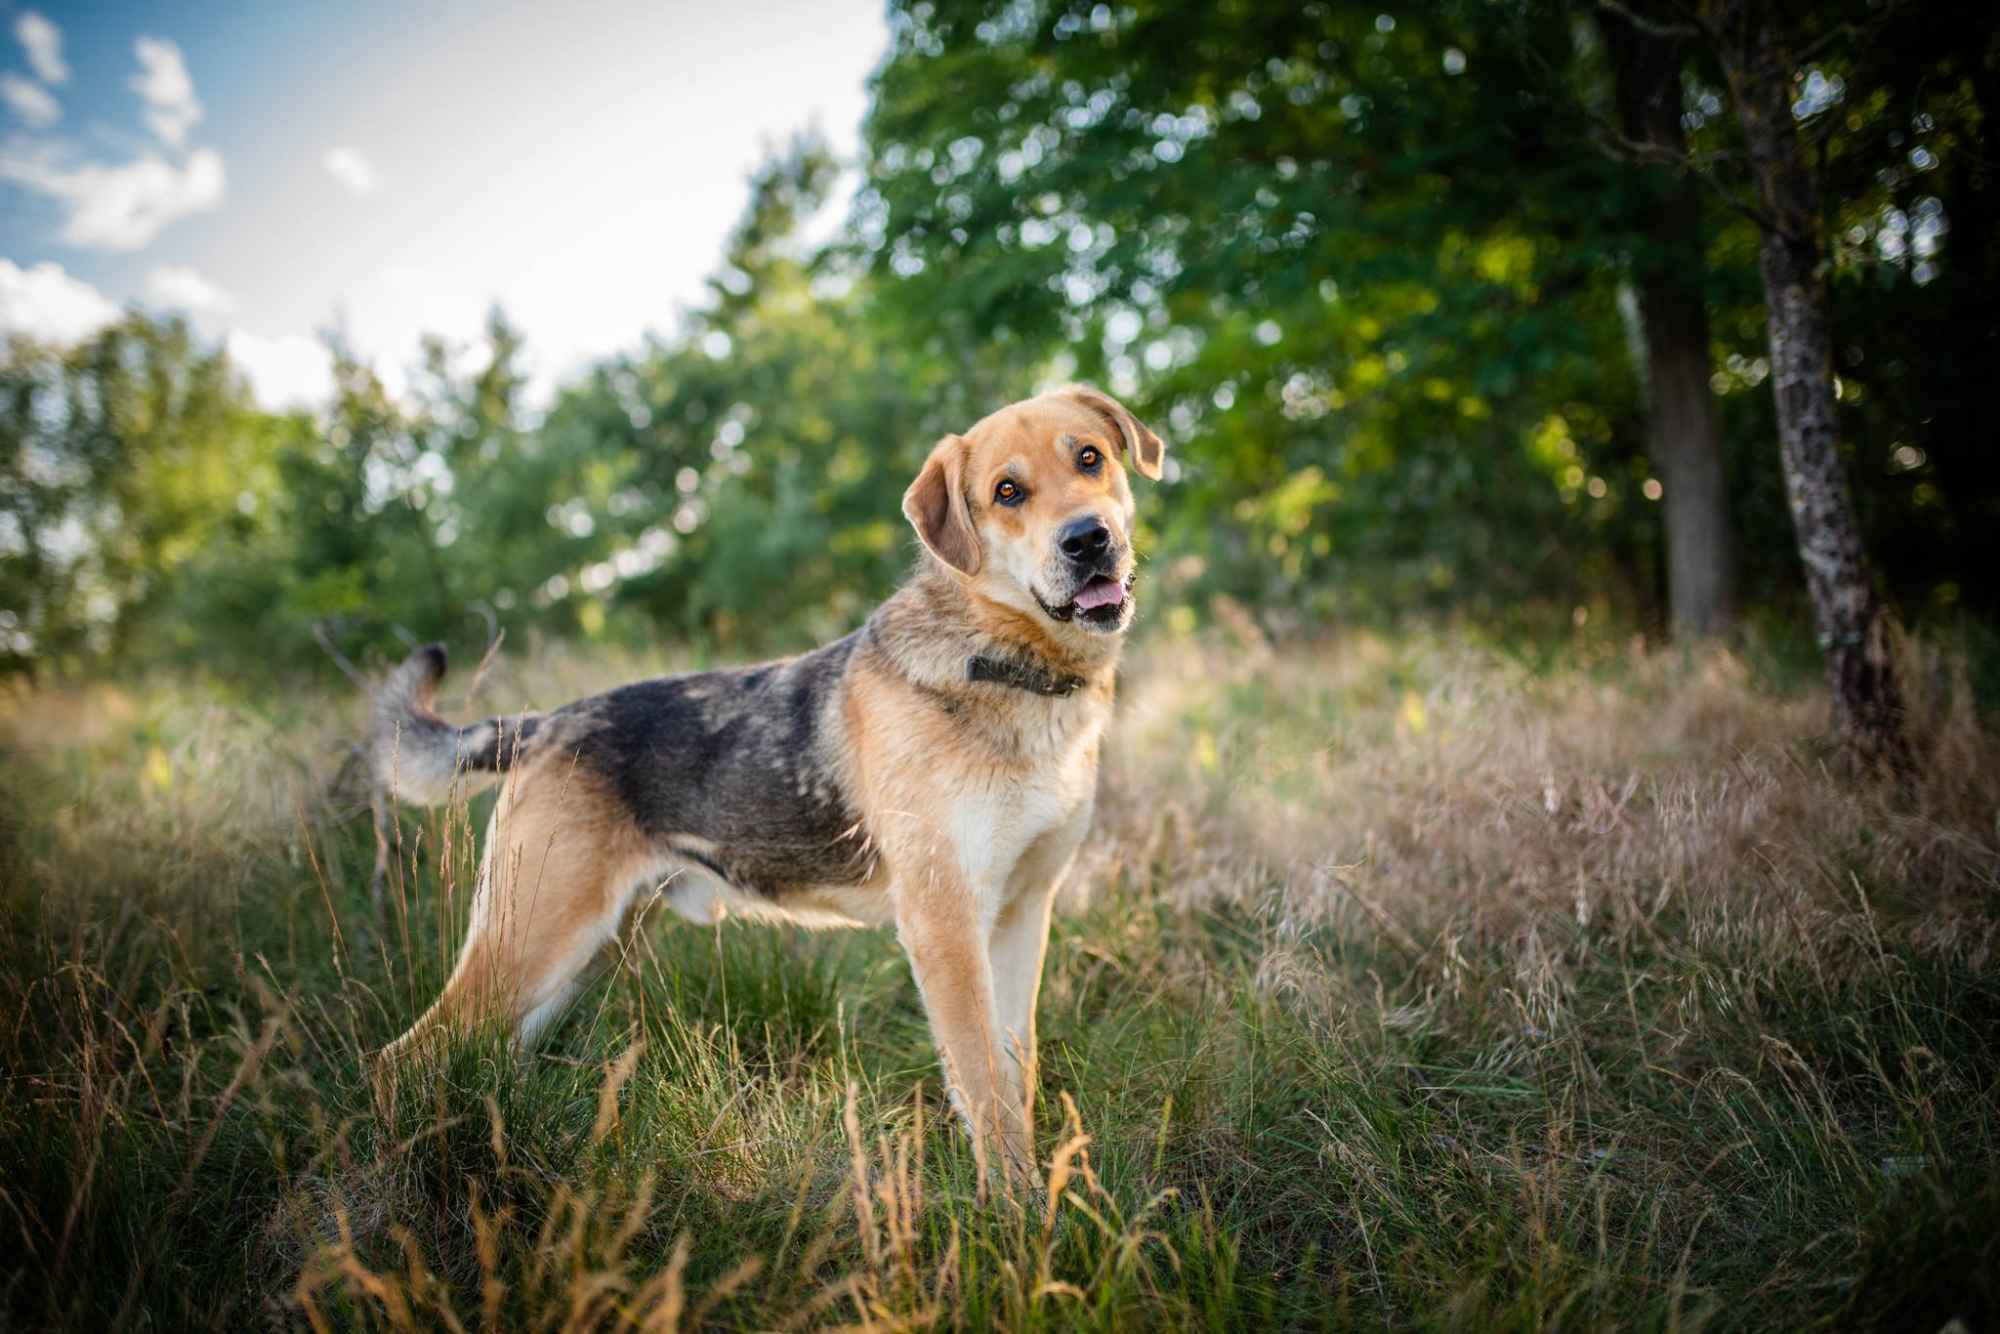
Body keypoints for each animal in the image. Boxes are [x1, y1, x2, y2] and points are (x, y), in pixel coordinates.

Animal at [368, 384, 1168, 1176]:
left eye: (1089, 458)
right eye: (1008, 491)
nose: (1088, 539)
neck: (1008, 663)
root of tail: (543, 725)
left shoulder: (1021, 914)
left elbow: (1013, 1077)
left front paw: (1035, 1191)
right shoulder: (944, 924)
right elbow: (984, 1089)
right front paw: (1009, 1207)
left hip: (578, 957)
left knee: (482, 1055)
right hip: (534, 940)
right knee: (401, 1059)